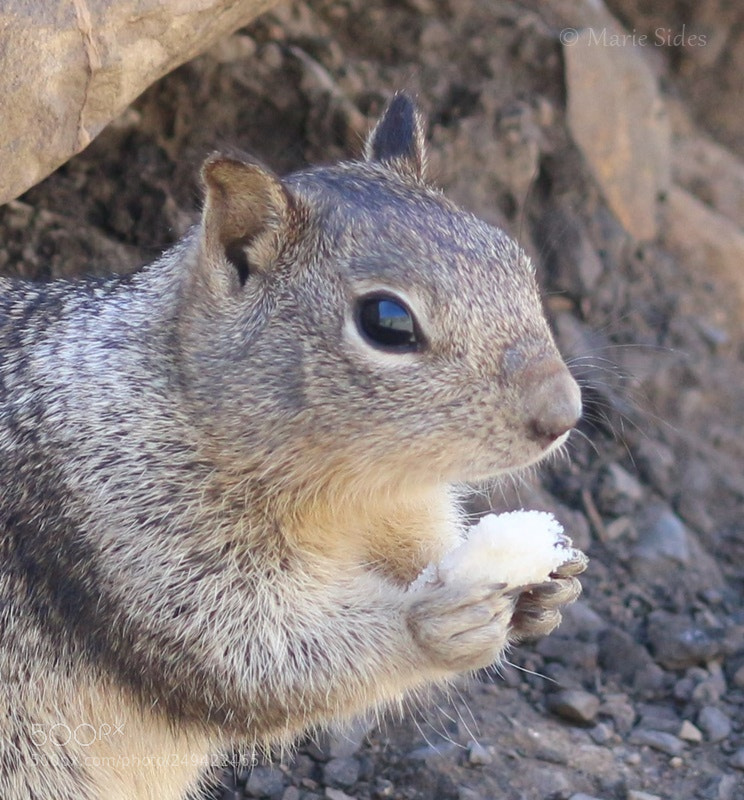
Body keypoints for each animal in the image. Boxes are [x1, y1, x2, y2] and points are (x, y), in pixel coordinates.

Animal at [0, 94, 585, 800]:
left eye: (516, 261)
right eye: (387, 322)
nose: (563, 411)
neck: (351, 492)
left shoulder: (405, 511)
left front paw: (548, 588)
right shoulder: (124, 523)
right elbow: (258, 656)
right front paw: (433, 623)